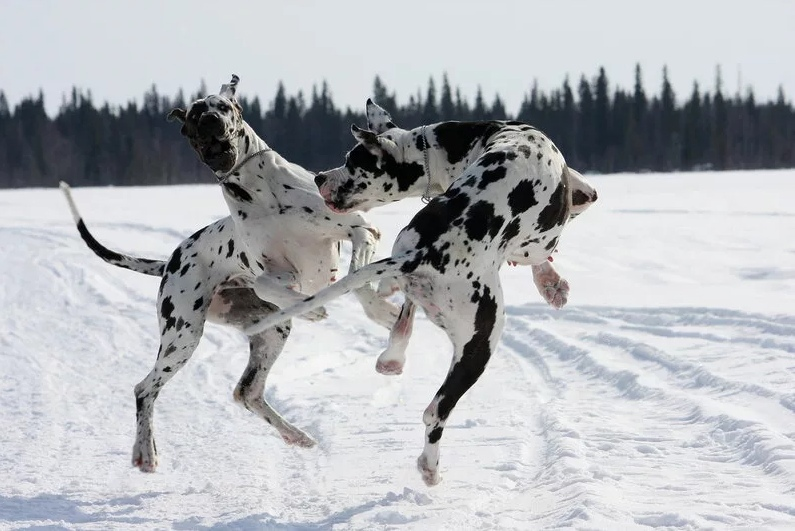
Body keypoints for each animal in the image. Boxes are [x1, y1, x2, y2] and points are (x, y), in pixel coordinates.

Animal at [59, 75, 398, 474]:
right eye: (192, 117)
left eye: (222, 106)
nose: (209, 122)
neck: (261, 191)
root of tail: (169, 261)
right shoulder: (270, 271)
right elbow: (274, 283)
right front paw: (314, 306)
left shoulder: (361, 229)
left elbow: (357, 277)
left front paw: (379, 309)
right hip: (183, 337)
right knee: (146, 389)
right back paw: (145, 450)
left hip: (270, 332)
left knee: (247, 392)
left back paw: (295, 434)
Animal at [243, 100, 596, 486]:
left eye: (352, 161)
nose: (320, 177)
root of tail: (422, 252)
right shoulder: (540, 239)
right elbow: (542, 255)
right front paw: (552, 285)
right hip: (482, 339)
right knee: (435, 411)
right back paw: (430, 467)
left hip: (419, 276)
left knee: (401, 326)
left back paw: (391, 358)